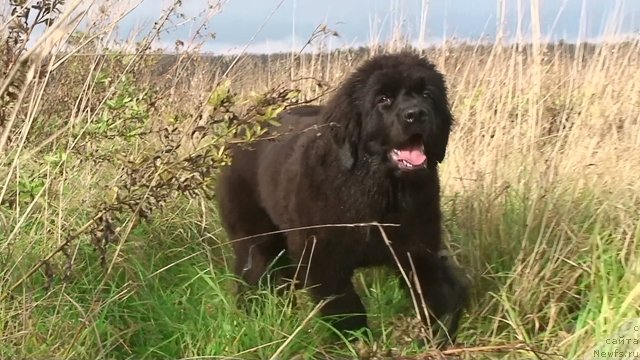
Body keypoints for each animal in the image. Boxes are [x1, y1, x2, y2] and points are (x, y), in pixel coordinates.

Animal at [218, 51, 468, 344]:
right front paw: (356, 342)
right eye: (383, 99)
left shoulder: (417, 250)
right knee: (253, 272)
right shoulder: (323, 258)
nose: (416, 114)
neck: (377, 190)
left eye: (427, 95)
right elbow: (347, 309)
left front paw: (439, 335)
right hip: (255, 237)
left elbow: (438, 293)